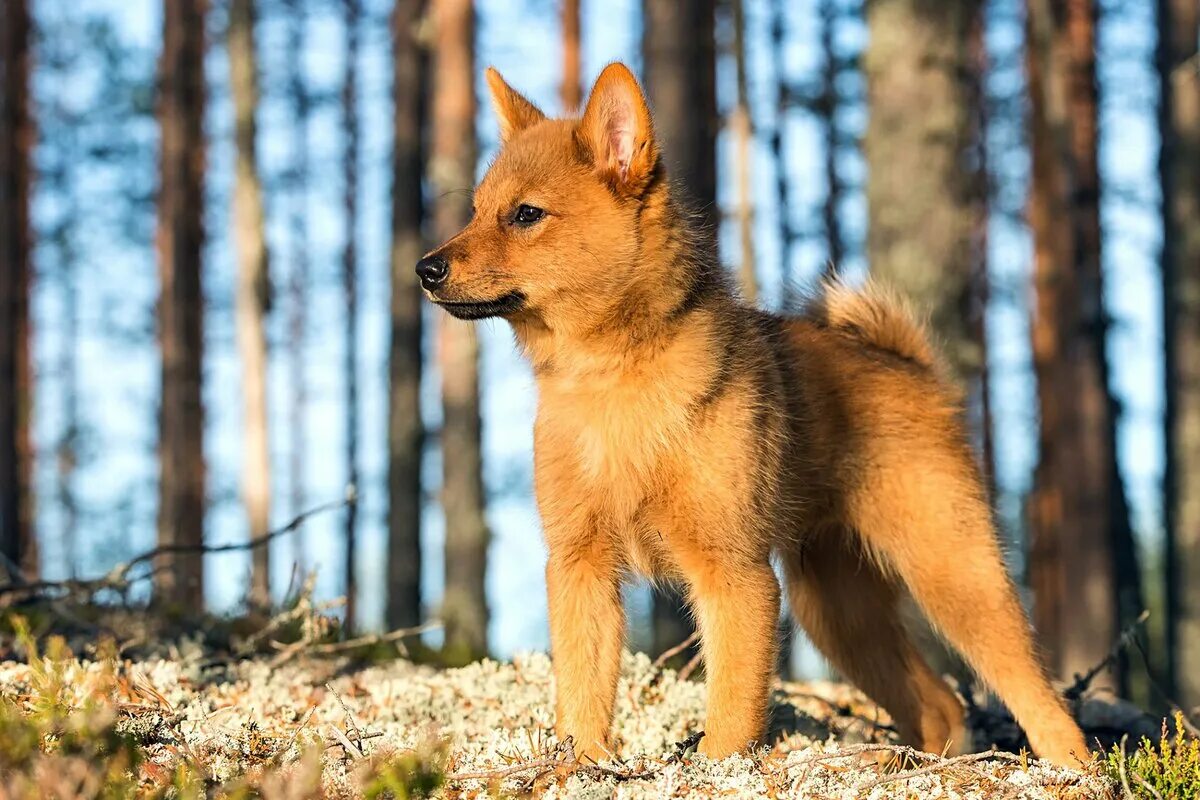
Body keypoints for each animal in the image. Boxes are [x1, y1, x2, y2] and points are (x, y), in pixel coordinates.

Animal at [417, 61, 1094, 767]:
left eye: (526, 215)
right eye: (475, 212)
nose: (424, 268)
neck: (613, 383)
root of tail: (913, 369)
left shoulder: (733, 576)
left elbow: (733, 709)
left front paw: (714, 766)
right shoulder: (581, 567)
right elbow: (582, 693)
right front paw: (580, 767)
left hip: (955, 577)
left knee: (1038, 698)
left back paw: (1073, 769)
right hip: (838, 614)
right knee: (938, 704)